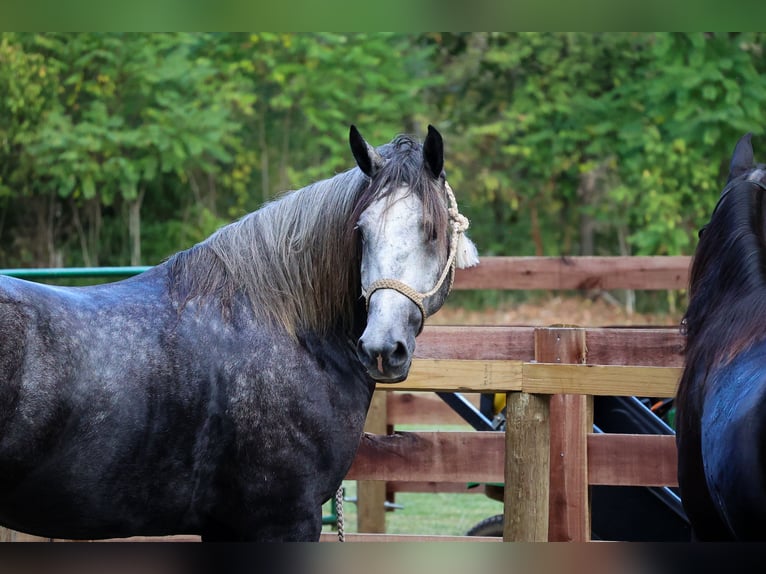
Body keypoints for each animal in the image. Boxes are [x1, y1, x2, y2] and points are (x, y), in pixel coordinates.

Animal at [0, 126, 480, 544]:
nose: (382, 348)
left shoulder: (225, 525)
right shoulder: (285, 520)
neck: (290, 330)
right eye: (361, 231)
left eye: (432, 229)